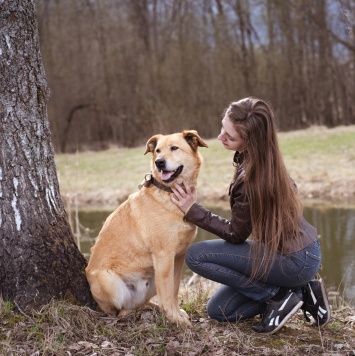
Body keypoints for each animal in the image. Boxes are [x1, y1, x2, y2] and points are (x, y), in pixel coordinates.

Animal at [86, 131, 209, 326]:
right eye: (157, 150)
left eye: (174, 148)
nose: (159, 162)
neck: (168, 193)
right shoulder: (164, 255)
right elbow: (167, 293)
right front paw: (174, 319)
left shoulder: (178, 256)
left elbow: (173, 289)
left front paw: (176, 314)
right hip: (110, 282)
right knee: (121, 310)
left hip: (151, 280)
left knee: (142, 302)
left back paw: (152, 308)